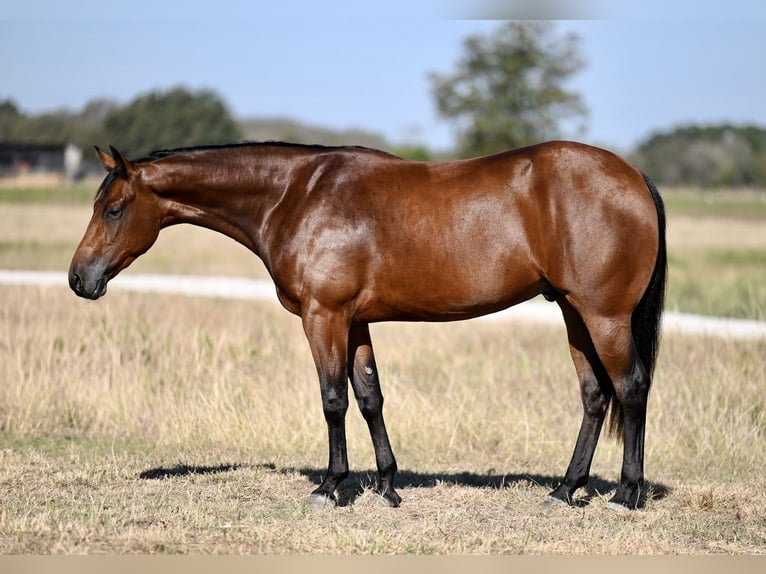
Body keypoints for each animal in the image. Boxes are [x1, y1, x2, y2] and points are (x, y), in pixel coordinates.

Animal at [70, 141, 664, 512]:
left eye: (115, 208)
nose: (79, 278)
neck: (296, 196)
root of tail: (634, 176)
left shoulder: (324, 316)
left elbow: (333, 399)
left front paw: (331, 486)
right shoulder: (355, 323)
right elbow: (370, 397)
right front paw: (385, 485)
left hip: (603, 315)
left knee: (631, 388)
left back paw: (625, 495)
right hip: (572, 312)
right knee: (595, 396)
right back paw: (565, 490)